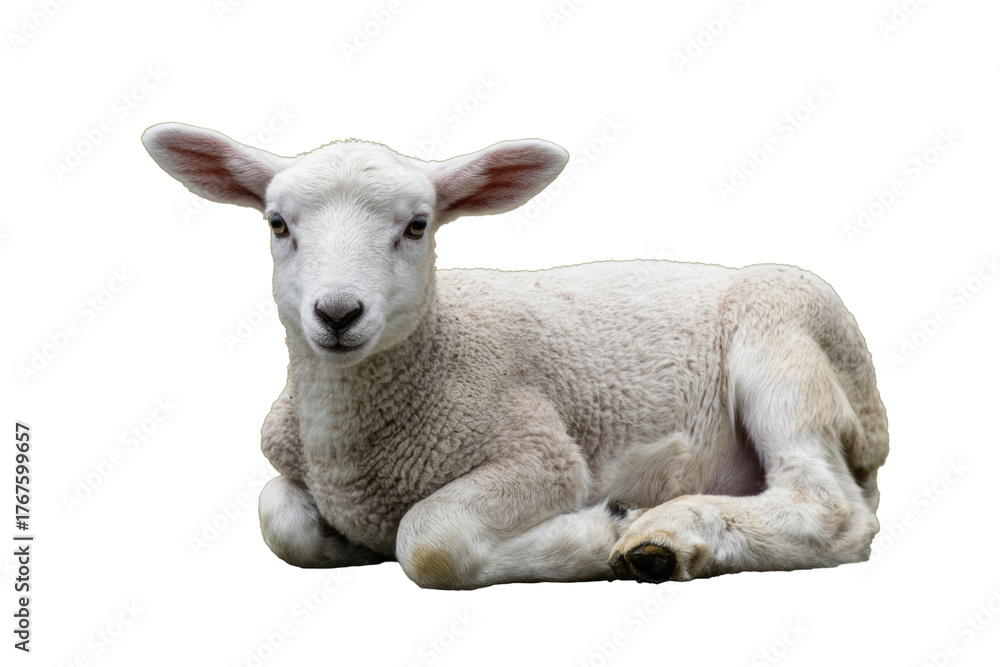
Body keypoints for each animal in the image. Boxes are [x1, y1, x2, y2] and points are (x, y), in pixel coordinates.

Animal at [141, 122, 889, 589]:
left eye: (418, 225)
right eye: (278, 225)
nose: (337, 313)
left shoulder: (539, 454)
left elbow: (429, 540)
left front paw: (595, 534)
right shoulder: (294, 466)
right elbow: (277, 517)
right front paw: (342, 544)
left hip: (783, 340)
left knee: (832, 507)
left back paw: (662, 536)